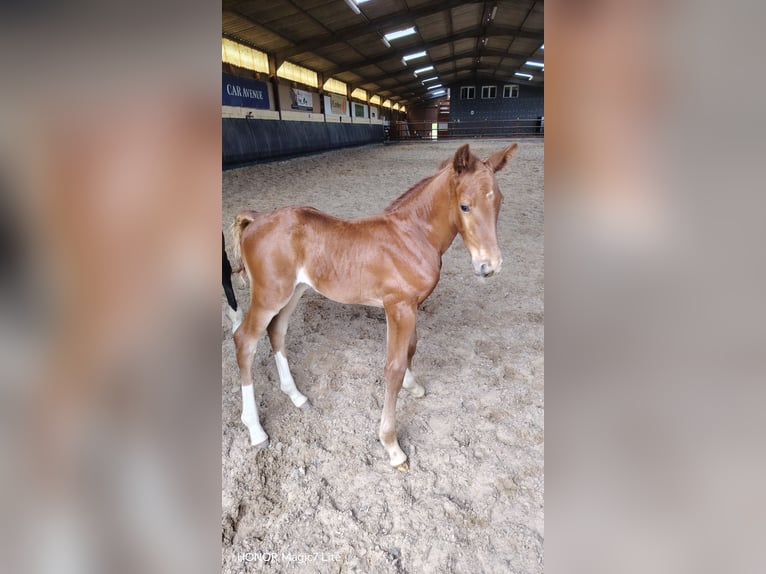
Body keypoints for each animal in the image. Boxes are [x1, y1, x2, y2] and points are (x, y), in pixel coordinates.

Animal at [231, 142, 518, 470]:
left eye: (499, 201)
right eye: (465, 206)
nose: (489, 266)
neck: (412, 237)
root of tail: (257, 217)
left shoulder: (412, 305)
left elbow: (411, 349)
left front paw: (413, 385)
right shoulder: (398, 306)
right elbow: (393, 367)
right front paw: (392, 446)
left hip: (295, 291)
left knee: (276, 331)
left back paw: (297, 397)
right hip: (269, 295)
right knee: (245, 340)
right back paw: (256, 430)